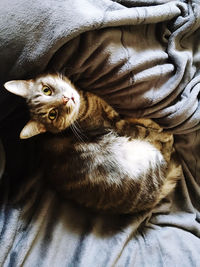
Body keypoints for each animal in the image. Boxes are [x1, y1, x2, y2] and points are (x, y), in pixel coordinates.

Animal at [3, 74, 181, 216]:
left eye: (47, 90)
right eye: (53, 114)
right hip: (150, 159)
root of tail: (154, 197)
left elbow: (133, 118)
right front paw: (161, 131)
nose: (66, 99)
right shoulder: (117, 126)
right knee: (166, 154)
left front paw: (148, 121)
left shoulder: (115, 115)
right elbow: (144, 131)